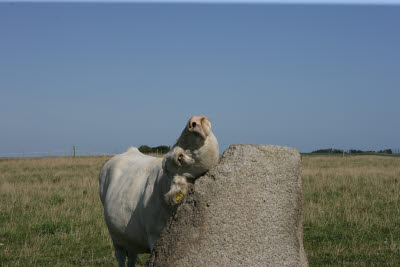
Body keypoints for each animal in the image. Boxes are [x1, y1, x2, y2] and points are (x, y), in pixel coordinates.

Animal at [99, 116, 219, 266]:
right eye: (179, 158)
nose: (193, 121)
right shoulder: (155, 237)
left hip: (130, 236)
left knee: (132, 256)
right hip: (116, 237)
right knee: (120, 256)